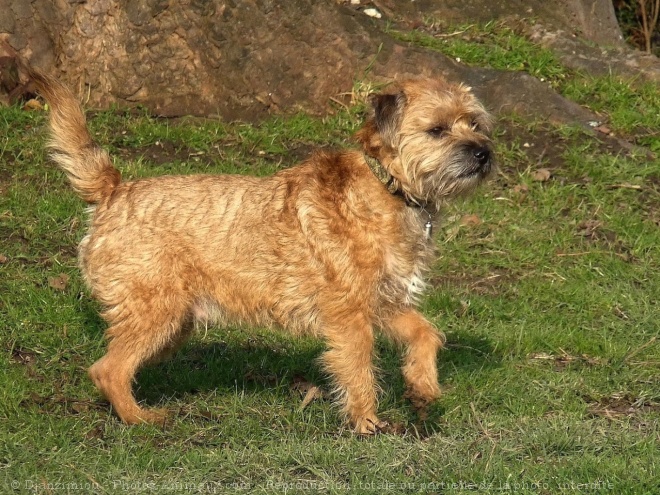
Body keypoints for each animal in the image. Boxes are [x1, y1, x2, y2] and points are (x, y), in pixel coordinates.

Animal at [32, 70, 496, 434]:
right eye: (436, 130)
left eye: (474, 123)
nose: (483, 152)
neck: (388, 188)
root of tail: (113, 189)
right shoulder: (350, 315)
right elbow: (359, 368)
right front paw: (366, 424)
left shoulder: (385, 303)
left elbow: (427, 332)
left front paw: (423, 387)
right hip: (156, 310)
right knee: (108, 369)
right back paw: (138, 419)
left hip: (172, 320)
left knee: (119, 363)